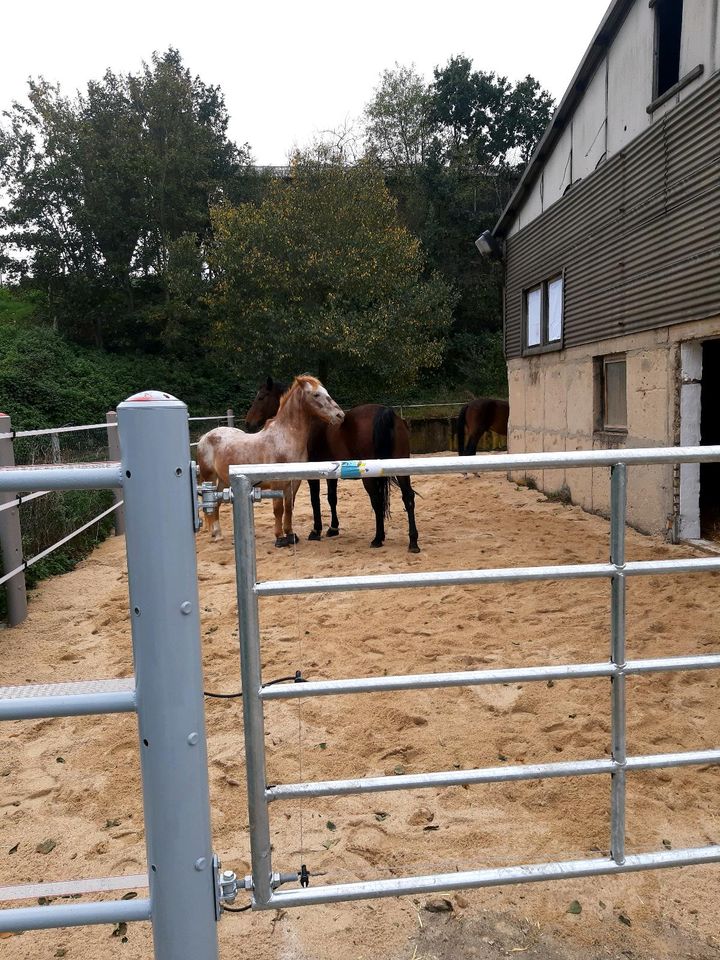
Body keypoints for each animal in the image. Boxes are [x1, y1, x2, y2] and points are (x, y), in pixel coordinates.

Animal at [197, 376, 344, 548]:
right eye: (316, 395)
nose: (340, 415)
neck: (284, 439)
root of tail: (205, 437)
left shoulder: (294, 482)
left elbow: (289, 508)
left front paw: (291, 535)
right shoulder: (277, 483)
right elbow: (278, 509)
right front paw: (280, 538)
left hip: (223, 481)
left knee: (217, 503)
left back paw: (218, 533)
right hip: (210, 478)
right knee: (212, 504)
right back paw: (216, 535)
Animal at [246, 376, 422, 552]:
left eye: (261, 397)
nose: (248, 423)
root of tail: (385, 412)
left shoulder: (313, 476)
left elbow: (315, 500)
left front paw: (316, 530)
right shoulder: (331, 474)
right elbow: (332, 498)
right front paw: (333, 528)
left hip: (370, 477)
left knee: (377, 501)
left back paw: (378, 538)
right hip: (401, 470)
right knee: (408, 498)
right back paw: (413, 541)